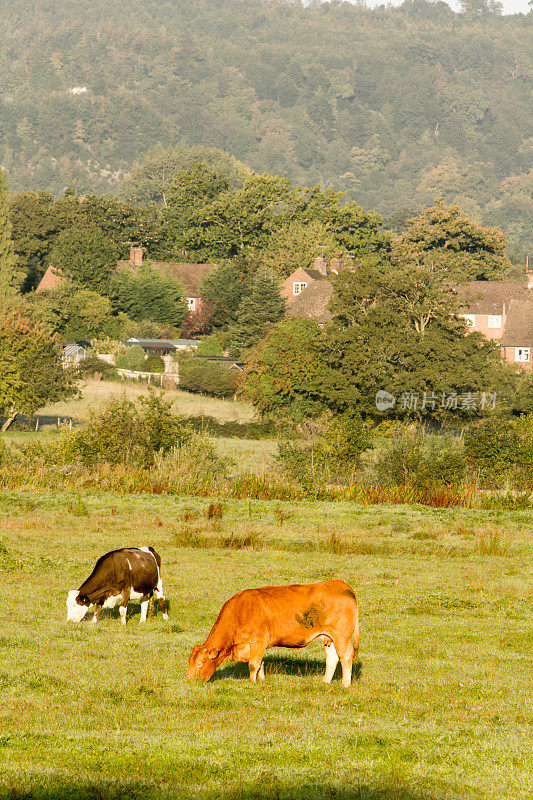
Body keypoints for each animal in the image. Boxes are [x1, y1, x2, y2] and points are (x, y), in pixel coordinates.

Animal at [185, 580, 360, 688]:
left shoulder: (258, 641)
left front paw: (251, 683)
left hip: (341, 637)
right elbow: (260, 664)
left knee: (345, 656)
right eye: (189, 661)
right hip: (329, 637)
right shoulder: (258, 646)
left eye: (200, 663)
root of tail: (341, 584)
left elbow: (253, 665)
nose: (188, 680)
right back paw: (325, 682)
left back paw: (345, 684)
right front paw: (261, 681)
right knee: (332, 658)